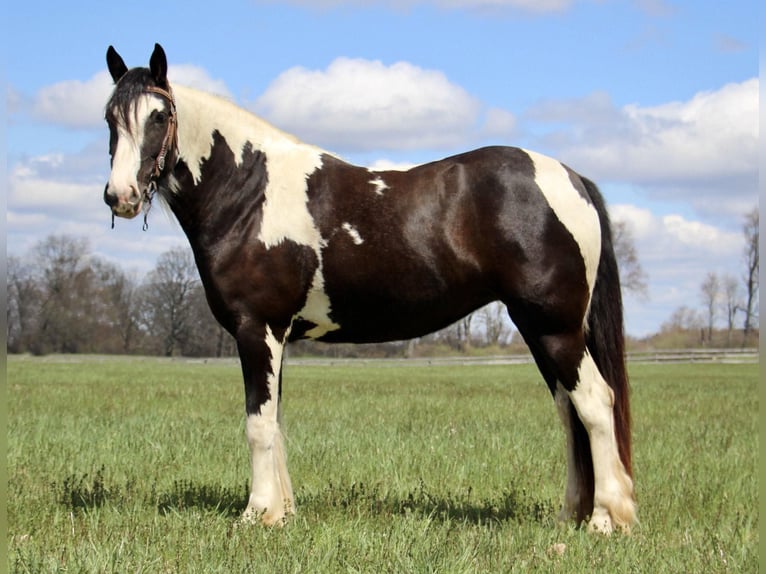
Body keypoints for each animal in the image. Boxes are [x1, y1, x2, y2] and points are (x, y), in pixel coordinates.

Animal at [105, 44, 640, 536]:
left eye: (158, 117)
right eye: (110, 118)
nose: (120, 196)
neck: (250, 194)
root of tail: (571, 178)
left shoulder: (256, 330)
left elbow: (257, 425)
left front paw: (256, 514)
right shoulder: (277, 338)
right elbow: (275, 422)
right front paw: (282, 513)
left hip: (556, 329)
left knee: (595, 404)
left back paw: (606, 519)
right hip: (537, 328)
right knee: (569, 412)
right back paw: (570, 515)